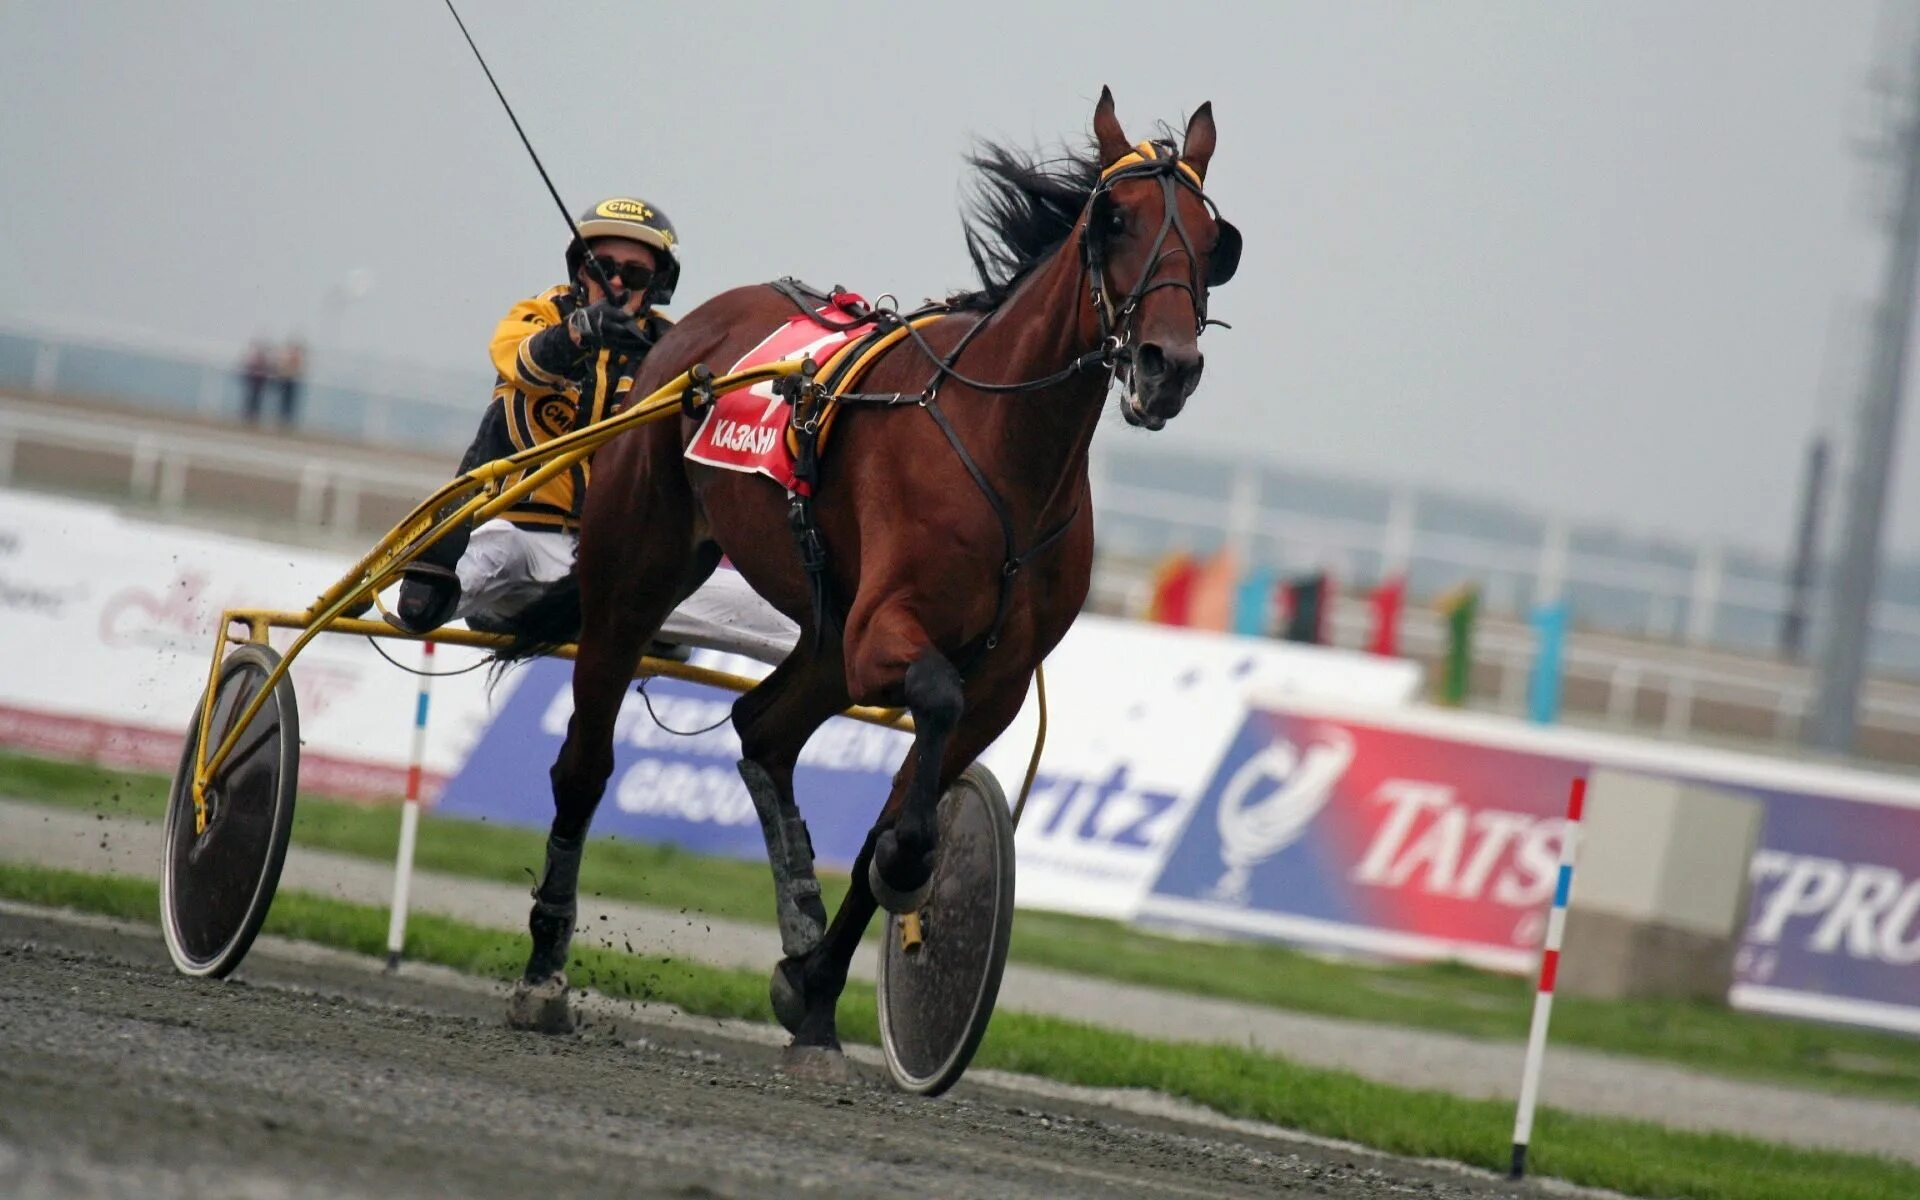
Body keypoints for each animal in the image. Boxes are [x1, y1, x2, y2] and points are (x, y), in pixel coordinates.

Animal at [503, 88, 1236, 1075]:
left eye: (1215, 236)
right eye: (1113, 218)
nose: (1169, 366)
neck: (1002, 447)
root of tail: (691, 328)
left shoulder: (998, 681)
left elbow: (898, 811)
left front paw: (814, 988)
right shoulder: (891, 631)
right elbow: (924, 737)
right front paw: (902, 884)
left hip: (823, 633)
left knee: (763, 728)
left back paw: (800, 932)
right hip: (638, 571)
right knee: (585, 761)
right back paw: (544, 969)